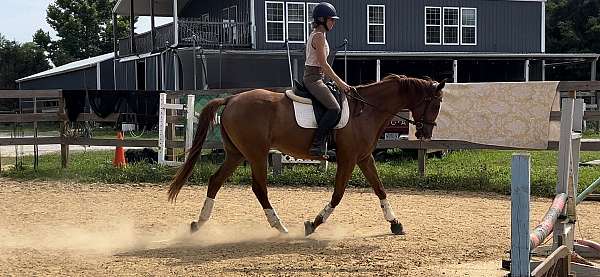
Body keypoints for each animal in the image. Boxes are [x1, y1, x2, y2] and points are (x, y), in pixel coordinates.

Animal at [166, 75, 442, 235]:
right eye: (436, 103)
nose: (426, 133)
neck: (366, 110)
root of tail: (232, 98)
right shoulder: (349, 159)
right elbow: (338, 194)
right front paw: (314, 223)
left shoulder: (364, 158)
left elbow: (380, 189)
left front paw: (395, 224)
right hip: (256, 154)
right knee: (259, 188)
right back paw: (279, 226)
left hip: (236, 154)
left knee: (215, 181)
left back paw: (198, 223)